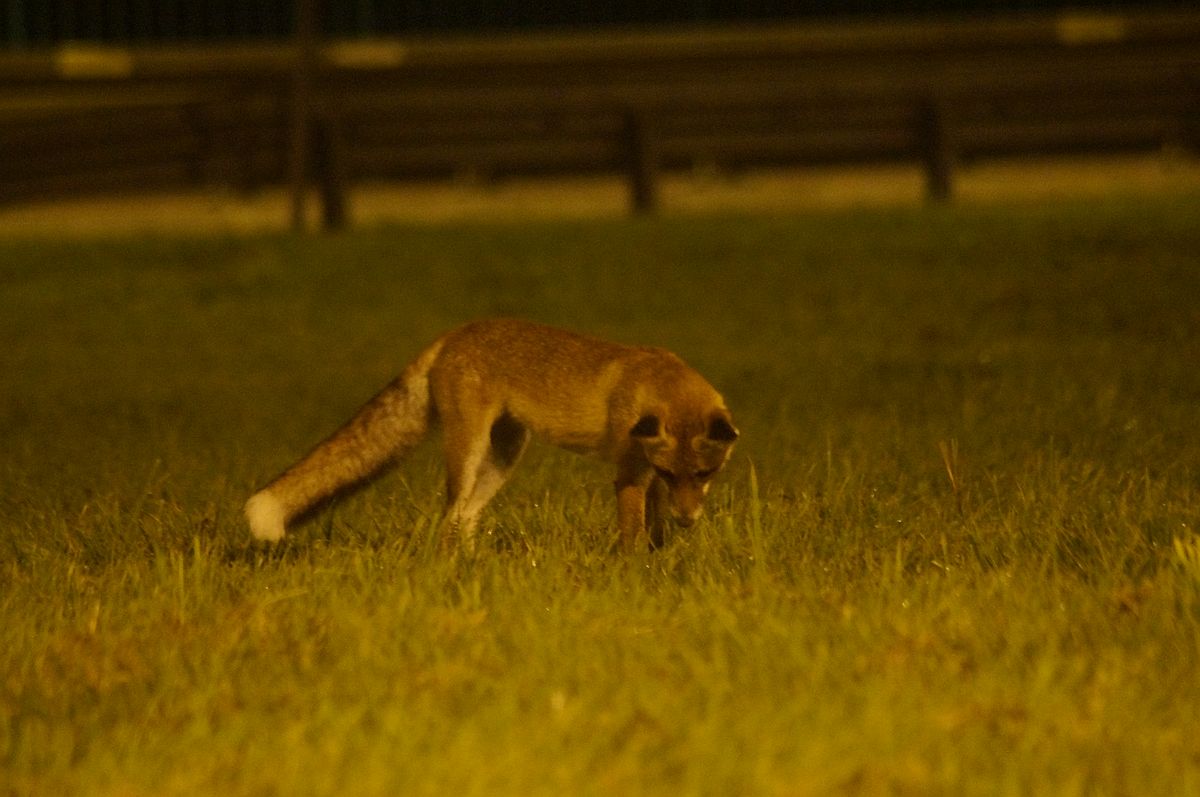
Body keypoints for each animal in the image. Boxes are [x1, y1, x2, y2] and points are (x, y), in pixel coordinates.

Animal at [244, 316, 734, 547]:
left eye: (704, 475)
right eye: (674, 475)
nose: (688, 520)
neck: (655, 382)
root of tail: (454, 333)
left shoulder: (648, 475)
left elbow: (655, 532)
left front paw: (660, 560)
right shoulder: (632, 473)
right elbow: (633, 534)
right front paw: (633, 573)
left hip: (503, 456)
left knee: (465, 518)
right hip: (469, 454)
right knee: (449, 519)